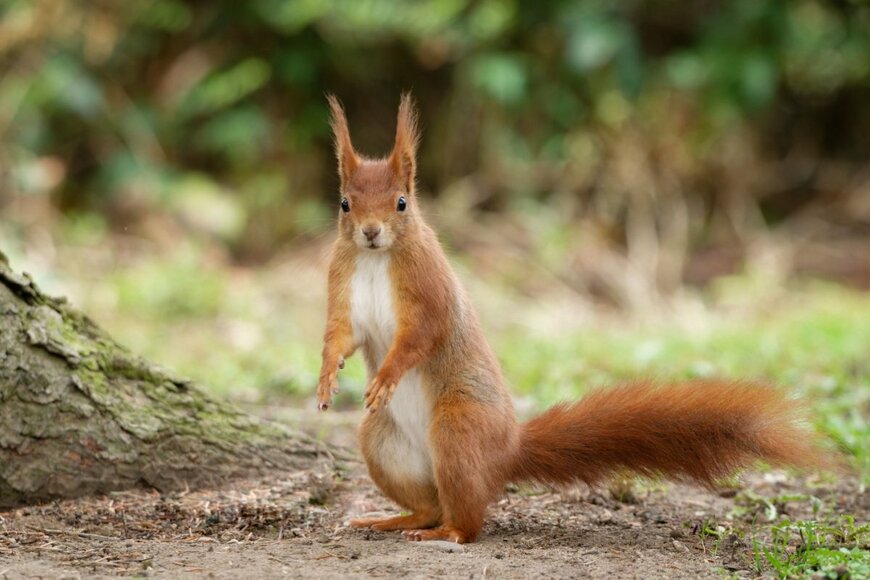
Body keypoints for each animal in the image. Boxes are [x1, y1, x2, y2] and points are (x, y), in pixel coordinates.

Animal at [316, 92, 820, 544]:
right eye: (344, 203)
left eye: (402, 202)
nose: (370, 232)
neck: (377, 259)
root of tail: (506, 450)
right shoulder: (343, 287)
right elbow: (341, 335)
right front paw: (326, 380)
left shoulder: (429, 288)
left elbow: (420, 335)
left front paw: (386, 376)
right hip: (383, 442)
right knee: (428, 505)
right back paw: (390, 520)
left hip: (458, 430)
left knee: (468, 519)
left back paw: (448, 532)